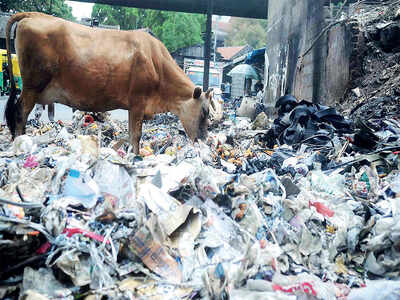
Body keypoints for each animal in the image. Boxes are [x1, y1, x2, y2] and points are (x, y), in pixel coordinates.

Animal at [4, 12, 212, 152]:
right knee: (20, 113)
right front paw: (136, 157)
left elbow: (131, 134)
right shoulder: (138, 102)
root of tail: (33, 15)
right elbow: (136, 135)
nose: (203, 141)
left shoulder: (133, 107)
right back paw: (20, 144)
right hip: (32, 86)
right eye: (204, 111)